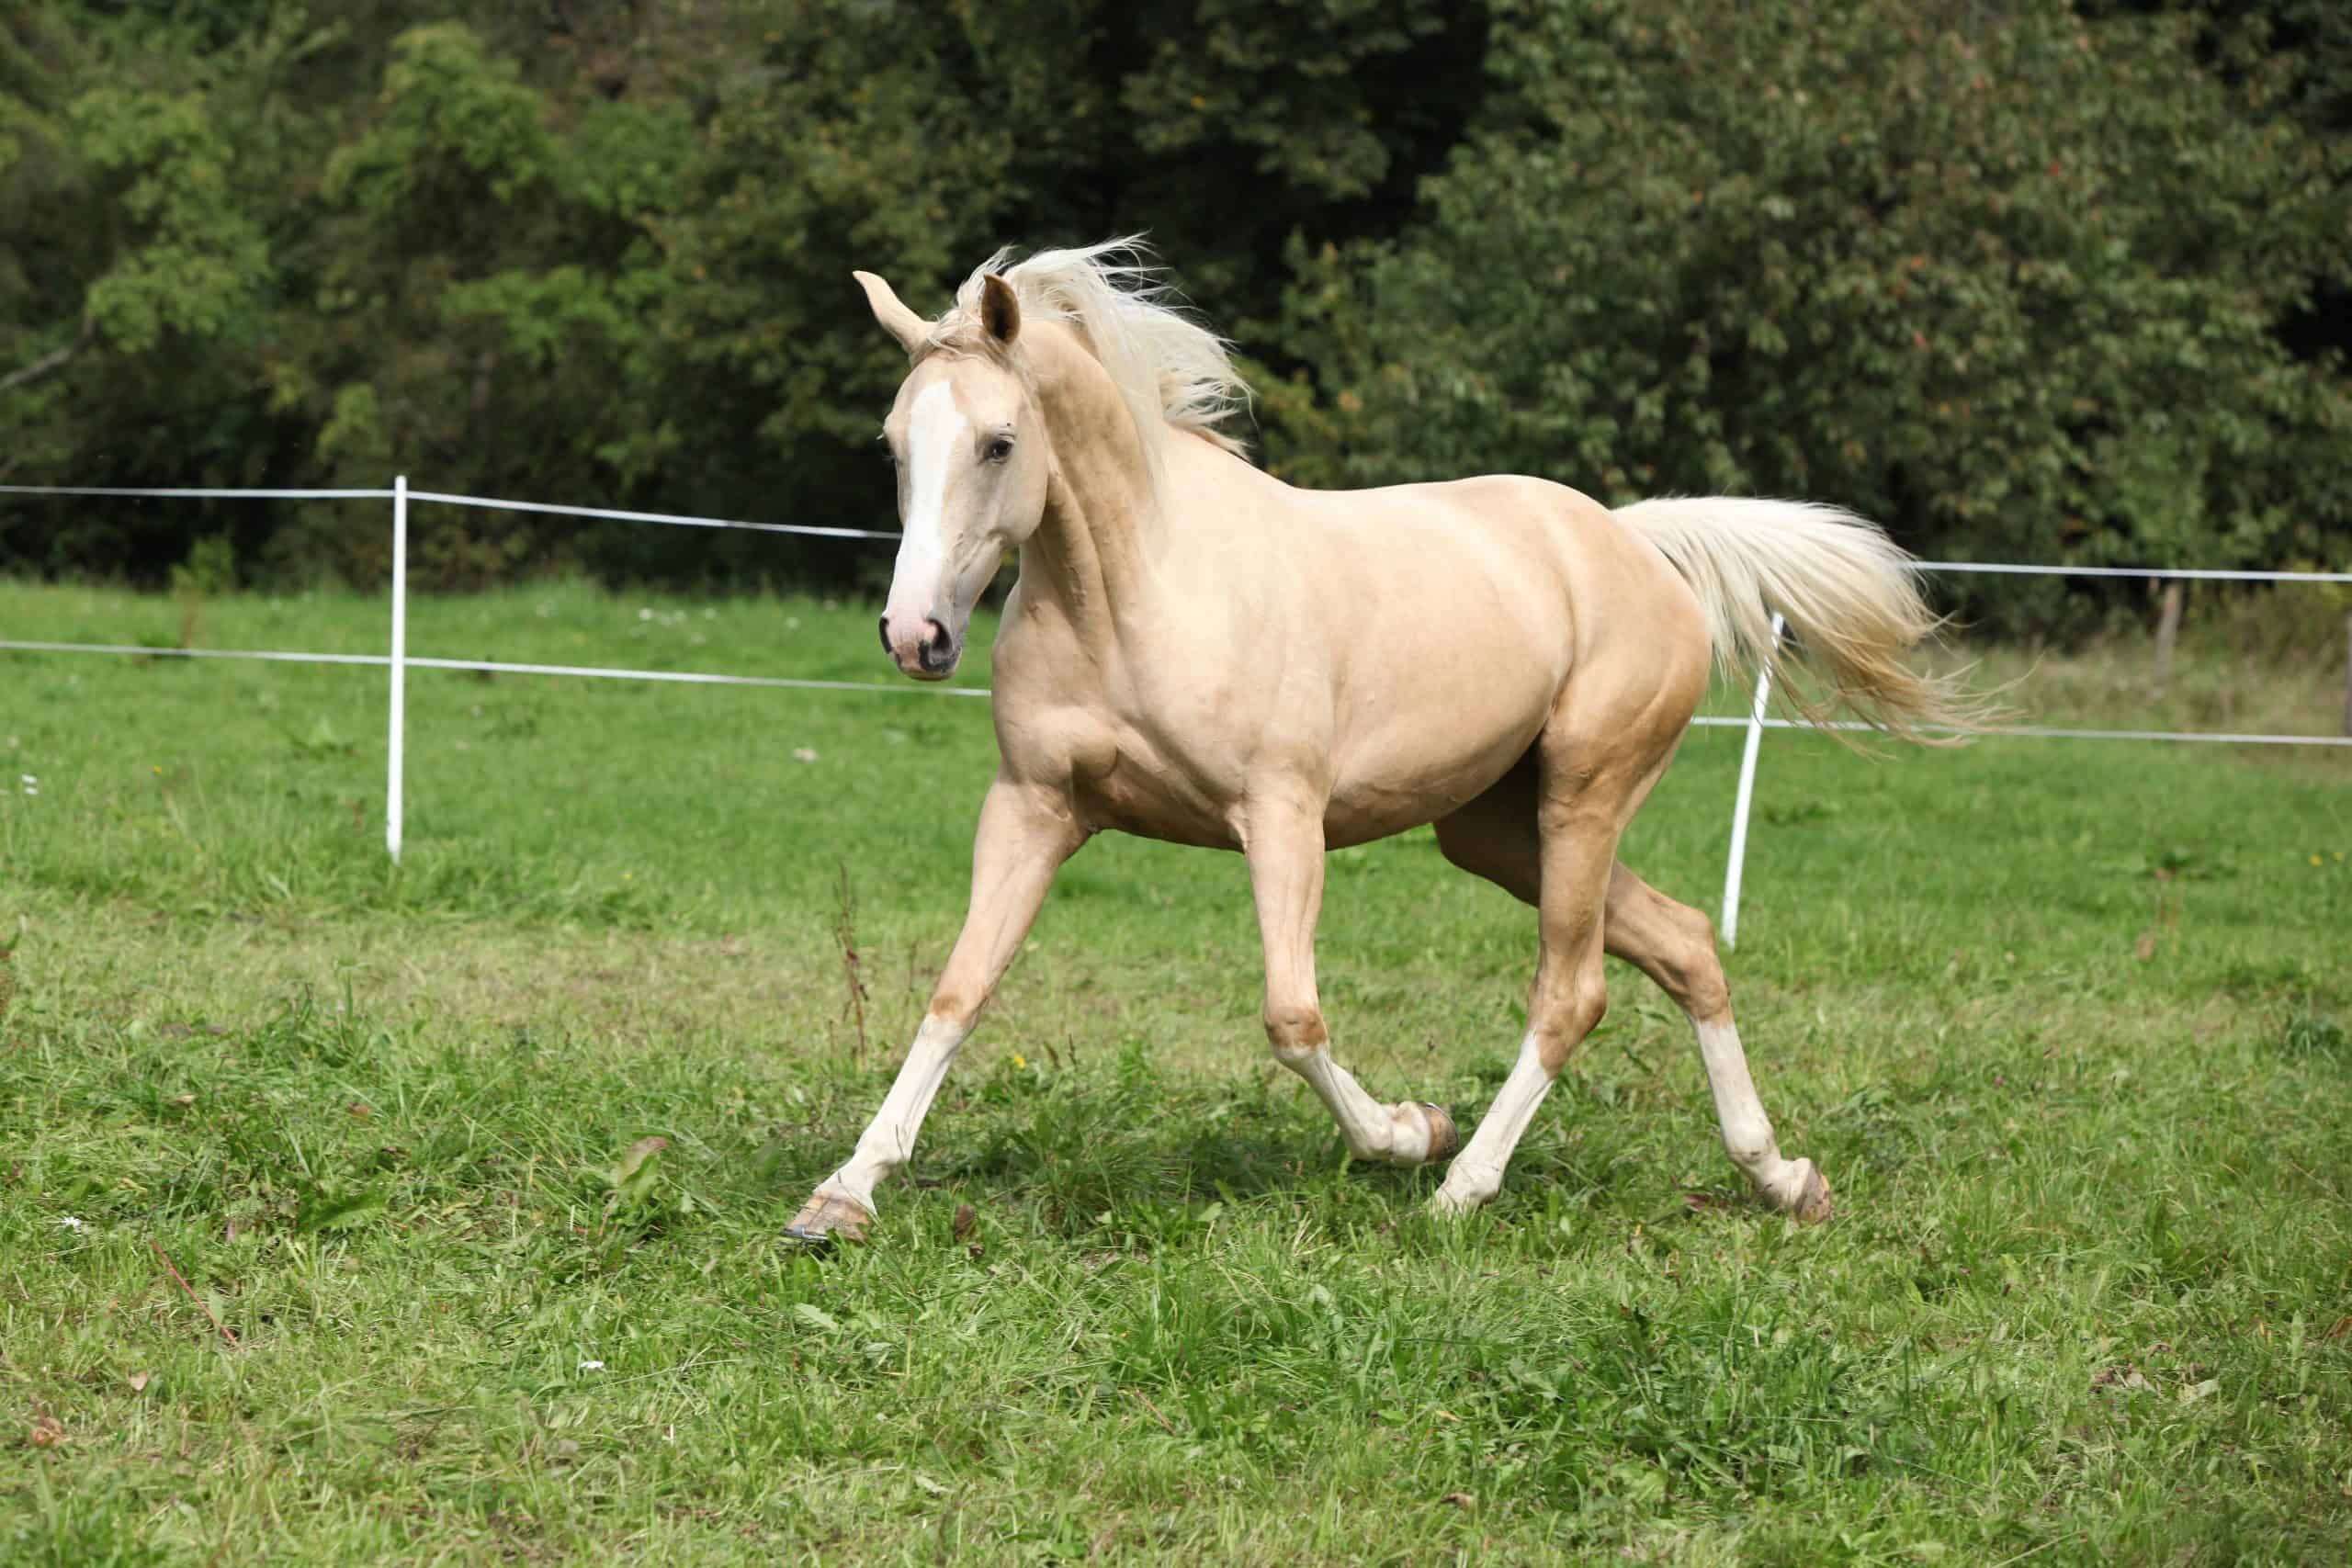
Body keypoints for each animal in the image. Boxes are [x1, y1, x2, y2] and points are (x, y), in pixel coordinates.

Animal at [786, 240, 1966, 1241]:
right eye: (893, 446)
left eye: (999, 443)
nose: (917, 635)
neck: (1129, 596)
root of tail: (1631, 544)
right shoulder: (1034, 807)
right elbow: (958, 992)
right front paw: (840, 1196)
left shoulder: (1280, 816)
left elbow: (1291, 1017)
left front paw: (1410, 1131)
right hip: (1494, 833)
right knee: (1683, 945)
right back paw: (1782, 1179)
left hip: (1582, 797)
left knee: (1570, 994)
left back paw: (1461, 1187)